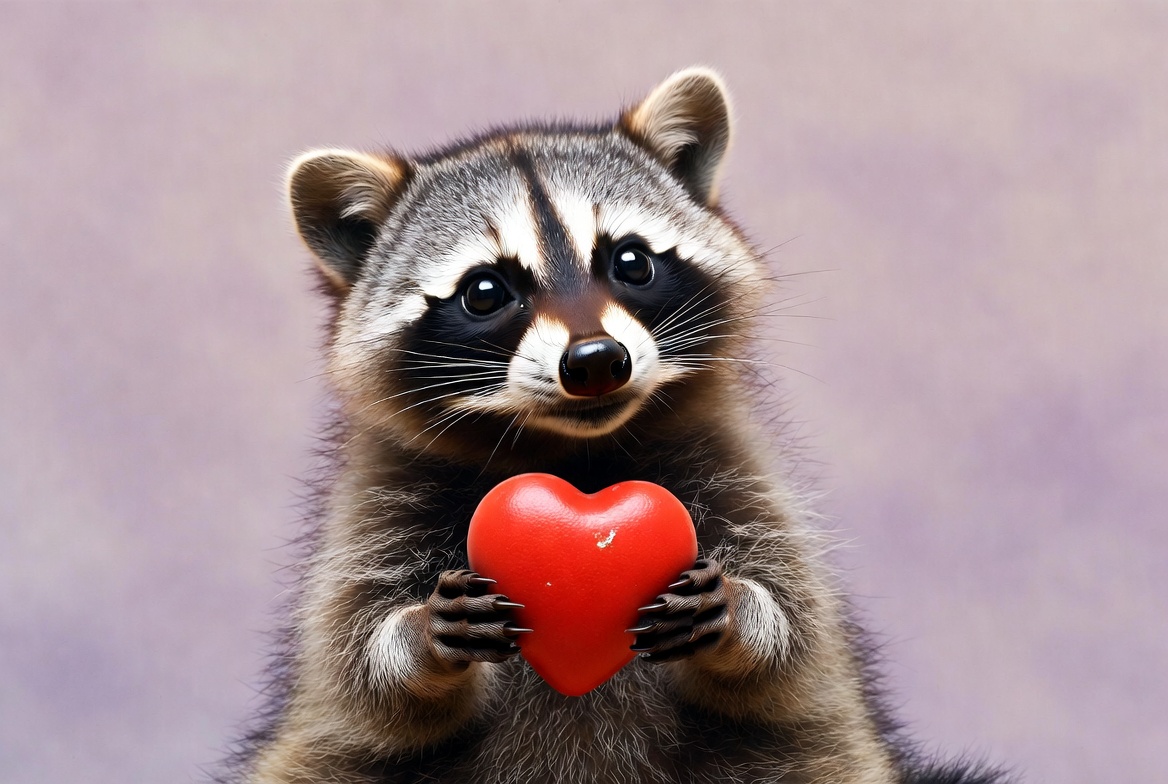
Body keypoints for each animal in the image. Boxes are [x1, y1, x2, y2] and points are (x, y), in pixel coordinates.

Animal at [227, 69, 1008, 784]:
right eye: (486, 291)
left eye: (630, 260)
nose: (596, 360)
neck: (578, 452)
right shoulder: (376, 513)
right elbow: (363, 673)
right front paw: (417, 636)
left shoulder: (741, 479)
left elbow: (792, 639)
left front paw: (744, 613)